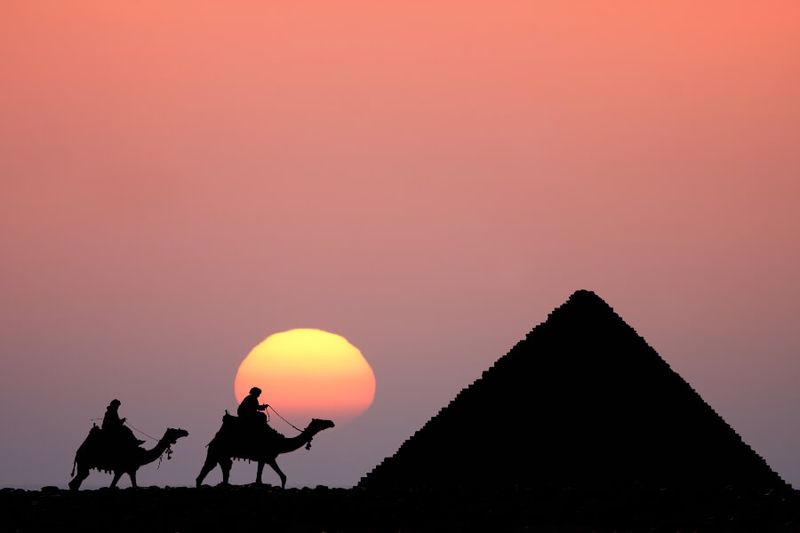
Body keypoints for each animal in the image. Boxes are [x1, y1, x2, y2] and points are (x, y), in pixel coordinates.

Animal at [197, 414, 334, 488]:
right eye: (320, 421)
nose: (331, 422)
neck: (279, 442)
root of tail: (214, 439)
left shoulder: (263, 459)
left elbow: (259, 479)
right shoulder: (269, 457)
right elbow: (283, 476)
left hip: (221, 455)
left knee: (223, 470)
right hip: (216, 451)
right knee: (207, 470)